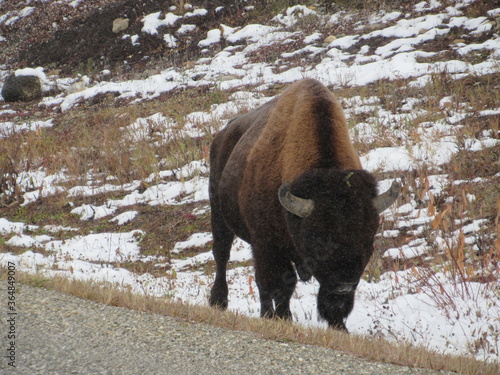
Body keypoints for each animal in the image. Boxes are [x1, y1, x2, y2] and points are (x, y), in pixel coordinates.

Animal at [209, 78, 400, 330]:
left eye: (368, 238)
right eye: (319, 239)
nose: (344, 285)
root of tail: (223, 134)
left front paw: (338, 327)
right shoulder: (266, 244)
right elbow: (274, 283)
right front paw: (275, 317)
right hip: (218, 214)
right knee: (223, 255)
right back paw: (219, 302)